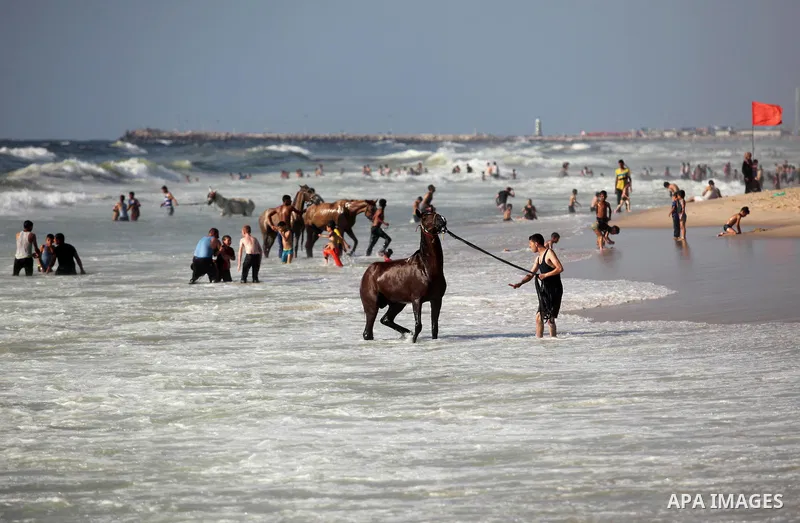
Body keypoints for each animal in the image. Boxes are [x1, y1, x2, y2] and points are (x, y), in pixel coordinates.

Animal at [360, 209, 447, 343]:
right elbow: (418, 325)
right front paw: (413, 340)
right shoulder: (417, 299)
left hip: (397, 303)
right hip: (371, 305)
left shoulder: (437, 299)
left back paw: (406, 332)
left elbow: (434, 327)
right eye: (424, 217)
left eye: (434, 212)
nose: (442, 220)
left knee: (386, 319)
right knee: (367, 332)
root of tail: (368, 271)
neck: (427, 268)